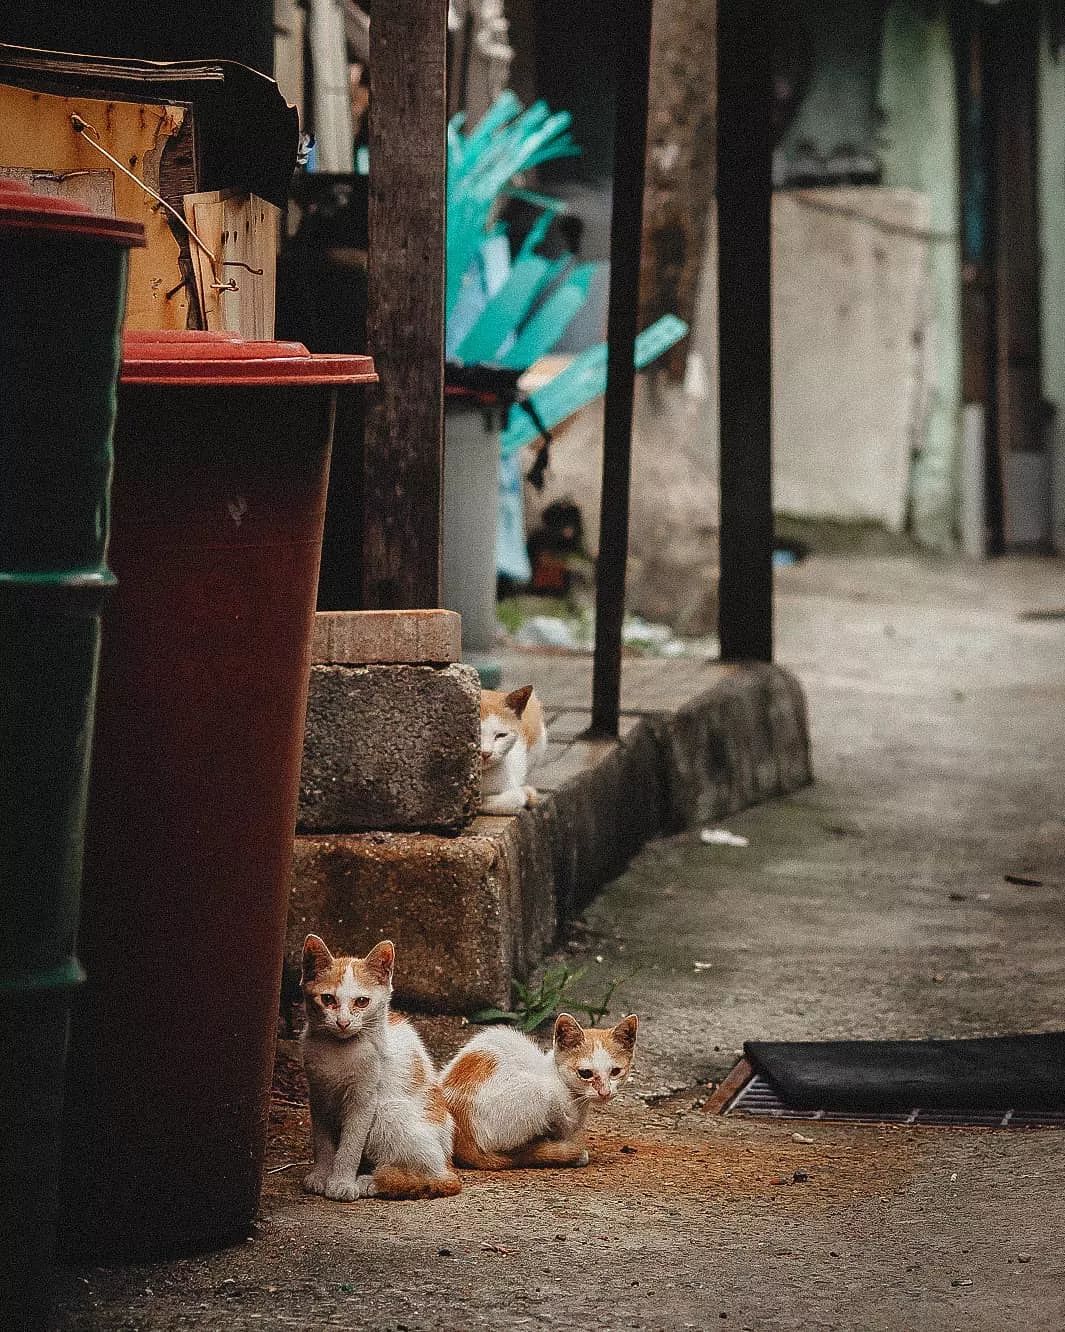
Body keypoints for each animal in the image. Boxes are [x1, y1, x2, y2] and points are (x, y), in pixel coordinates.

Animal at [302, 932, 463, 1204]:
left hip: (388, 1111)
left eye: (362, 1002)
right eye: (327, 999)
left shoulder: (364, 1098)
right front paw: (321, 1175)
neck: (338, 1049)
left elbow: (351, 1144)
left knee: (432, 1177)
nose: (343, 1023)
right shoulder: (318, 1094)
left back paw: (371, 1181)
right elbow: (322, 1140)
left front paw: (342, 1182)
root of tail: (448, 1162)